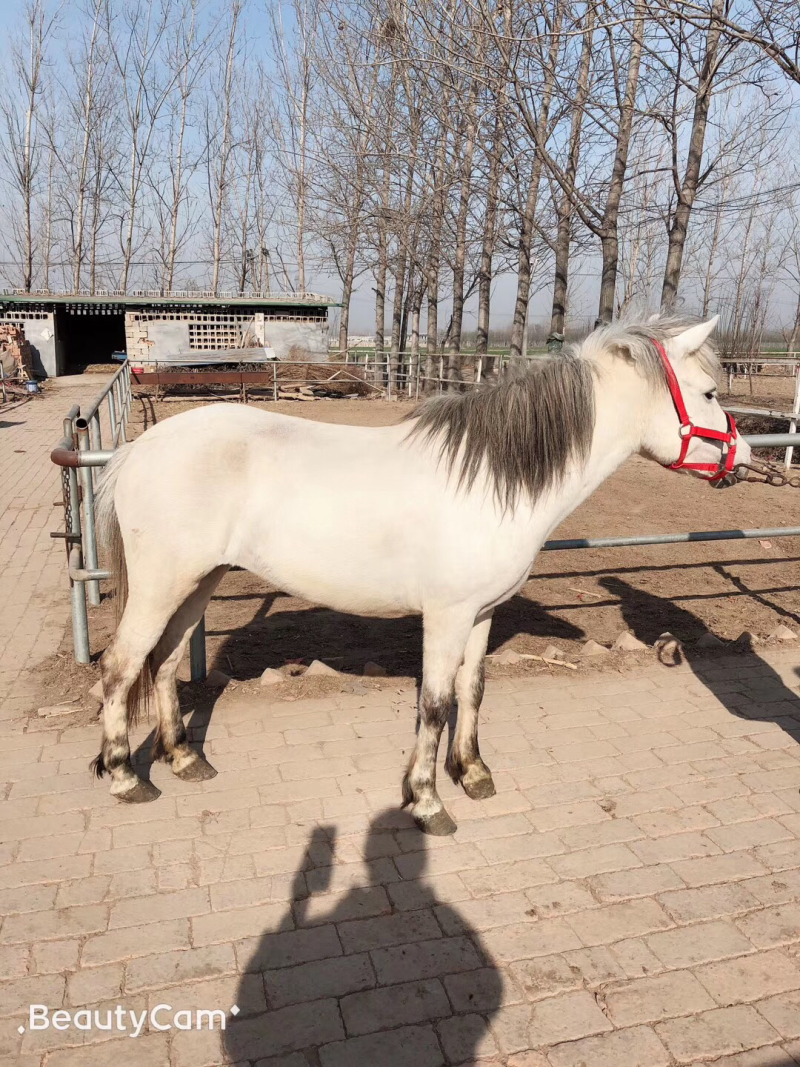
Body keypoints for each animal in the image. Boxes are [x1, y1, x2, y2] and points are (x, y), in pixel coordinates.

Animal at [91, 313, 749, 835]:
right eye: (710, 392)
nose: (743, 459)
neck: (491, 480)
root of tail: (137, 451)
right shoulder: (447, 615)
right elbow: (433, 703)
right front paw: (428, 801)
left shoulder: (482, 613)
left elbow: (471, 689)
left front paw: (473, 772)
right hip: (161, 585)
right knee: (122, 666)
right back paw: (126, 777)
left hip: (197, 584)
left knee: (166, 662)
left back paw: (184, 760)